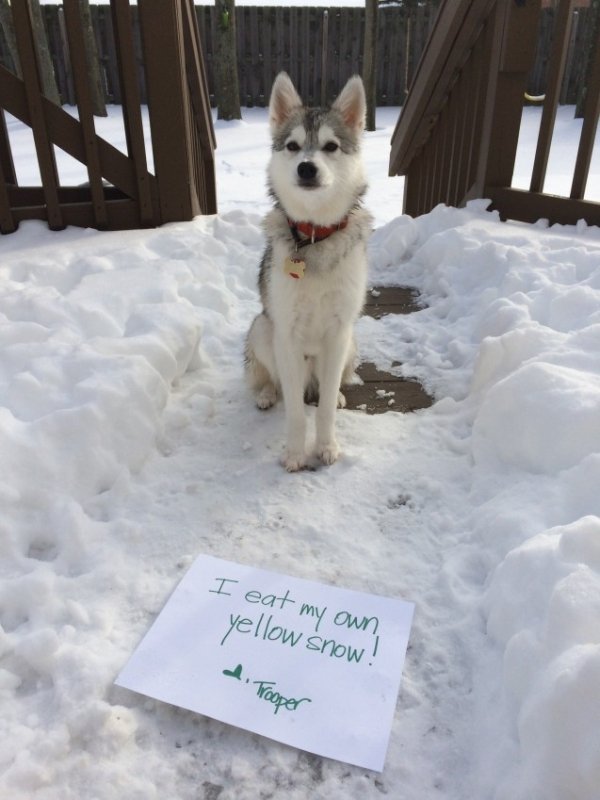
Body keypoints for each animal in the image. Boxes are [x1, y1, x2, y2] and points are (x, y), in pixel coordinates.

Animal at [244, 72, 370, 472]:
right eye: (293, 146)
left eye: (330, 147)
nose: (307, 167)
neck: (314, 236)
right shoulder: (286, 334)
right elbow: (297, 412)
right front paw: (297, 453)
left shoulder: (338, 332)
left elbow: (325, 407)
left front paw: (326, 446)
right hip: (262, 328)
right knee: (275, 381)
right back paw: (267, 394)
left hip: (351, 343)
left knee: (332, 385)